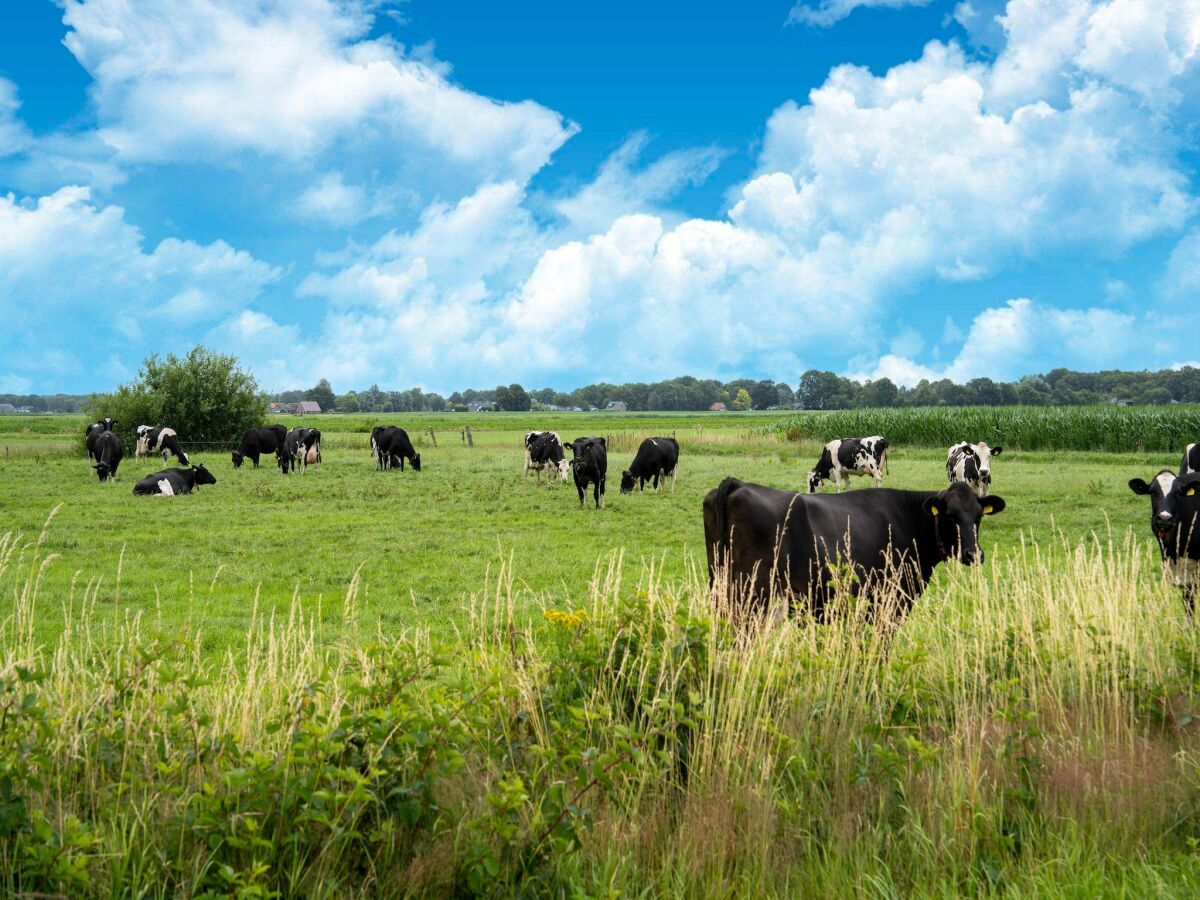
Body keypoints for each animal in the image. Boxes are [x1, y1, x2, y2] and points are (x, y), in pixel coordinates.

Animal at [700, 480, 1003, 628]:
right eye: (950, 517)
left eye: (978, 516)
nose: (973, 554)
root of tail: (738, 484)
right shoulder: (888, 605)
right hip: (751, 597)